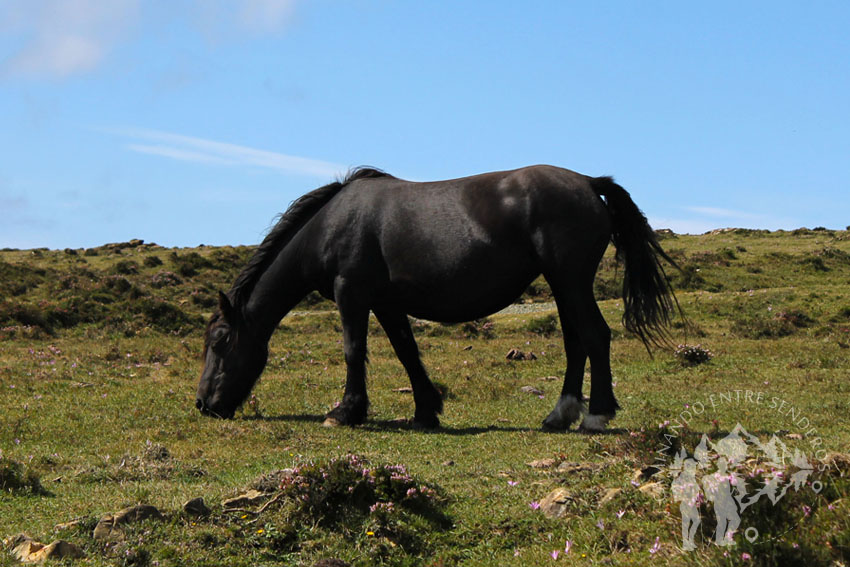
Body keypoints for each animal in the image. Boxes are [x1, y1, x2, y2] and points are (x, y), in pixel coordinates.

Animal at [197, 166, 676, 432]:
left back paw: (596, 415)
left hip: (570, 281)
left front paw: (346, 411)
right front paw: (426, 411)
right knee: (576, 343)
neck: (331, 223)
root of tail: (589, 183)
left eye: (220, 342)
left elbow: (354, 351)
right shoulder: (386, 303)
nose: (203, 404)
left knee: (595, 336)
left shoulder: (351, 293)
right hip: (562, 285)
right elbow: (407, 352)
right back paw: (559, 416)